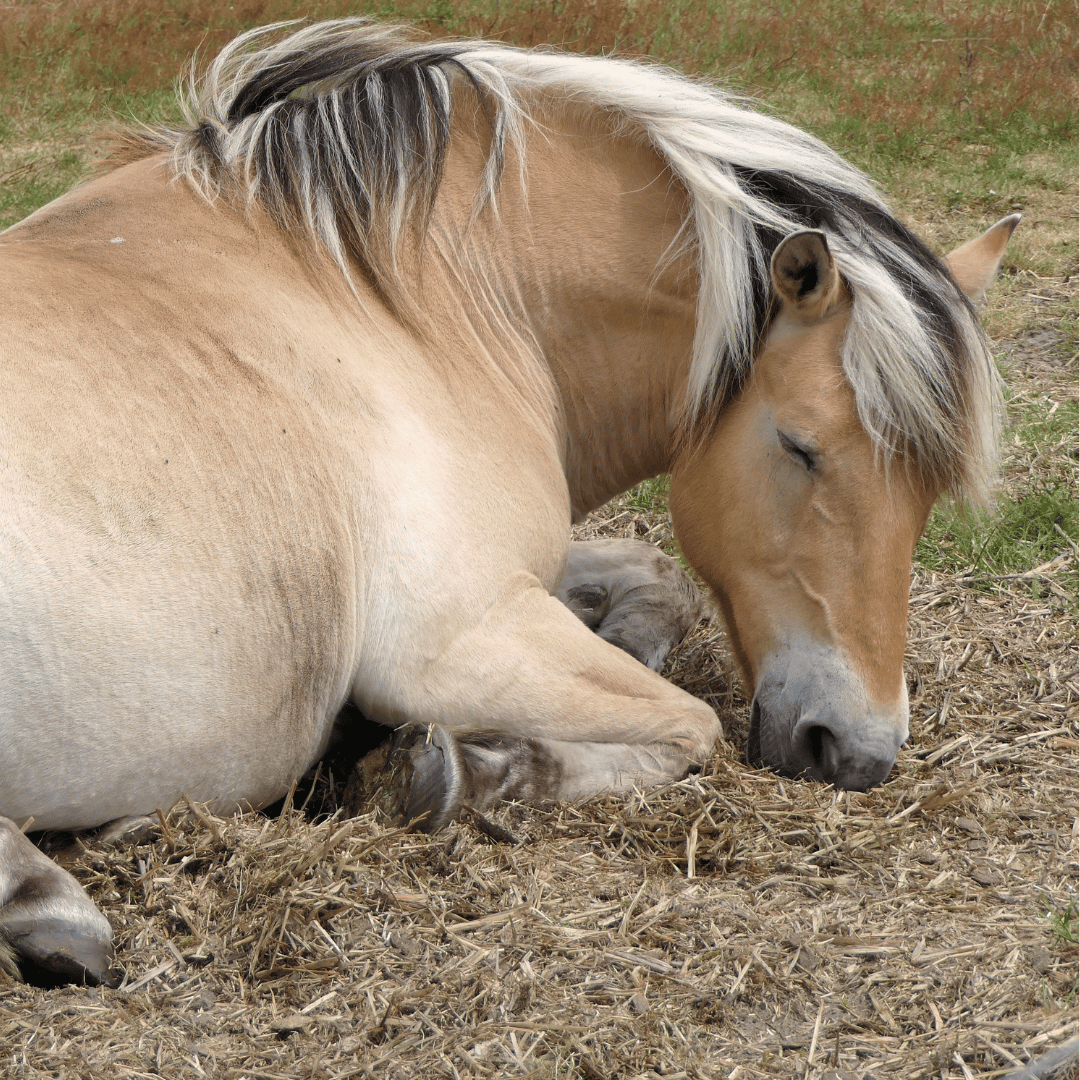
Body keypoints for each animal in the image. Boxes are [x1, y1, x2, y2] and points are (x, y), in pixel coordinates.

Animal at [0, 19, 1017, 986]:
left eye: (929, 491)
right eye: (801, 445)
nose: (860, 751)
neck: (400, 295)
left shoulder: (526, 570)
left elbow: (656, 575)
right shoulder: (454, 640)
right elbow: (691, 727)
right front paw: (462, 769)